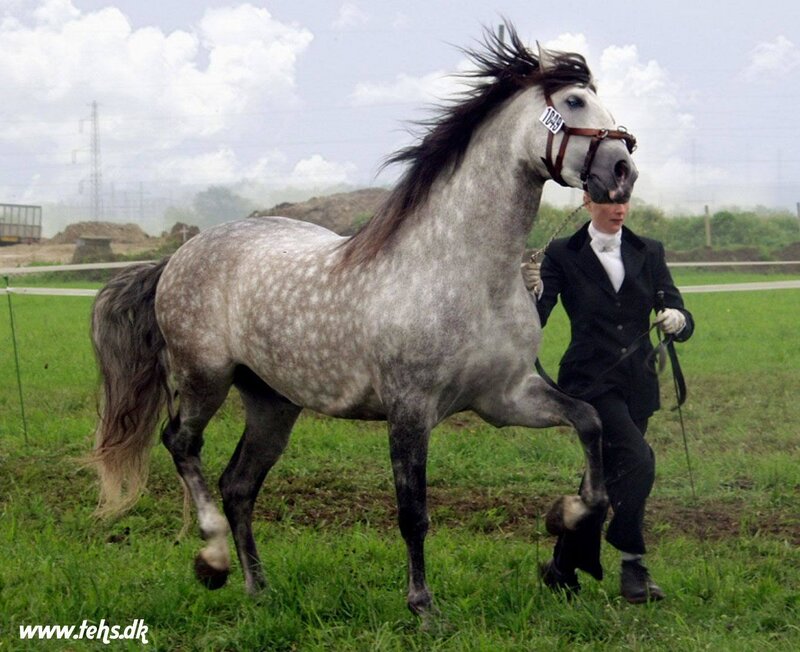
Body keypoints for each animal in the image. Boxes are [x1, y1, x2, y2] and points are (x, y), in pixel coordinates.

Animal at [91, 23, 637, 615]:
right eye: (575, 101)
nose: (623, 171)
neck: (466, 275)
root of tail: (177, 257)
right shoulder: (410, 410)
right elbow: (413, 513)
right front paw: (422, 606)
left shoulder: (505, 397)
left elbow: (589, 422)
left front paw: (566, 515)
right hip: (203, 379)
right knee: (181, 446)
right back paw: (212, 562)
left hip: (272, 403)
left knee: (238, 485)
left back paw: (258, 587)